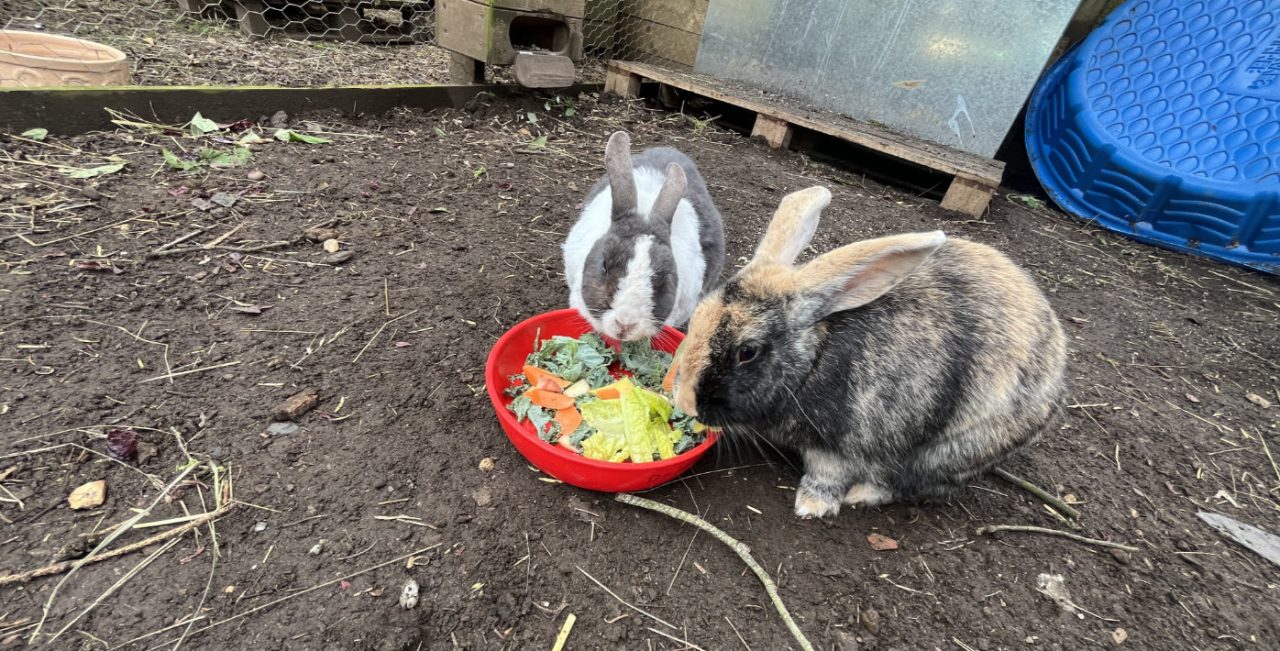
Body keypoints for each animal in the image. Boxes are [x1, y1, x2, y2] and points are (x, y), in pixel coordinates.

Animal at [669, 186, 1067, 519]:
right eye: (699, 315)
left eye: (747, 352)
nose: (685, 401)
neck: (813, 358)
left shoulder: (844, 447)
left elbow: (828, 474)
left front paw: (811, 506)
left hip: (948, 451)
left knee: (918, 485)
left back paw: (862, 495)